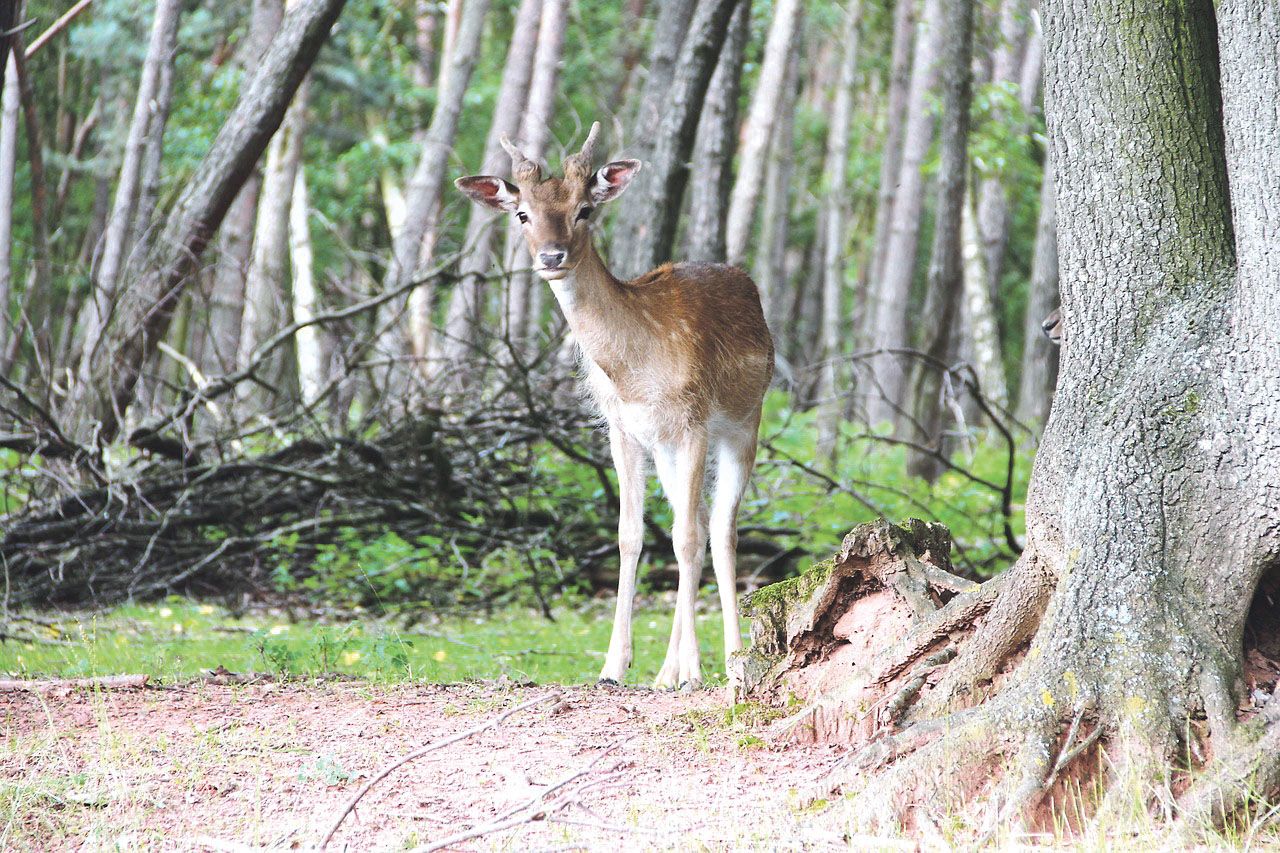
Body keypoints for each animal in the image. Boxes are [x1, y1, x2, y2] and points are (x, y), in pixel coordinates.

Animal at [455, 122, 773, 686]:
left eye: (584, 209)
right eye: (522, 214)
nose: (552, 257)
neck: (634, 373)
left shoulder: (693, 421)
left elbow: (687, 537)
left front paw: (694, 670)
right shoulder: (622, 430)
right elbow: (631, 535)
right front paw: (613, 666)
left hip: (744, 423)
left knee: (718, 529)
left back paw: (731, 661)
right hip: (665, 448)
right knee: (691, 524)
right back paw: (667, 671)